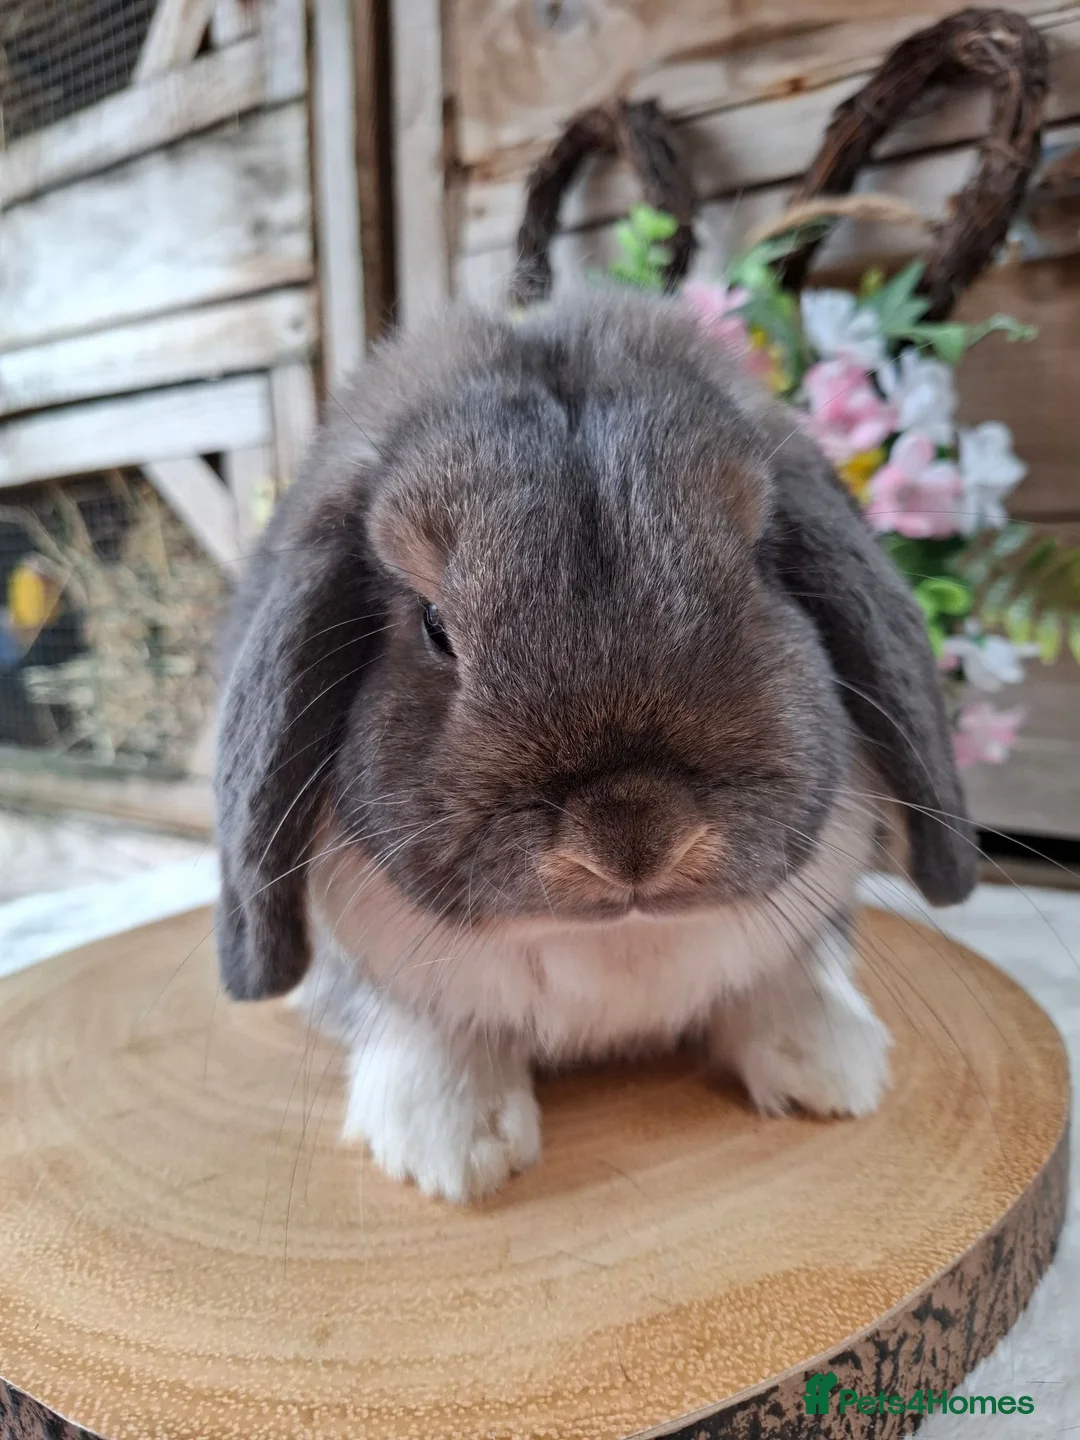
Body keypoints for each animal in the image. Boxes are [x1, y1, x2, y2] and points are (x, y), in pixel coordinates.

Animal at [214, 287, 976, 1203]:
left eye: (762, 571)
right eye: (433, 627)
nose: (633, 839)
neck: (615, 940)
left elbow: (786, 977)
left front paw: (829, 1070)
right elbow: (416, 1017)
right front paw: (453, 1146)